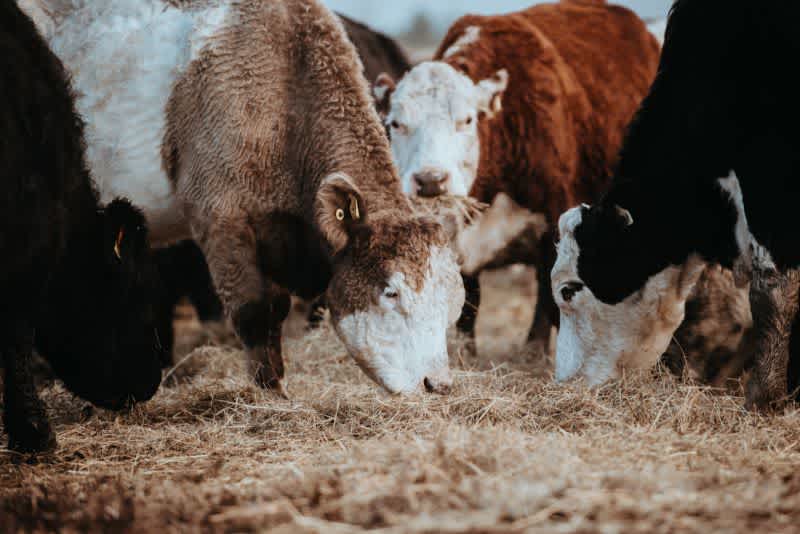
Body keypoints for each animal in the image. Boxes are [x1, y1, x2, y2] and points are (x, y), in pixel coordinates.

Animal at [32, 0, 468, 398]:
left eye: (450, 296)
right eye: (391, 292)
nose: (438, 384)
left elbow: (275, 310)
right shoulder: (221, 218)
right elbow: (254, 312)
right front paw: (269, 396)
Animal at [376, 1, 664, 344]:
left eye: (467, 120)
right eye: (396, 123)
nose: (431, 180)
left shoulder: (555, 226)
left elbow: (548, 304)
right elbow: (468, 307)